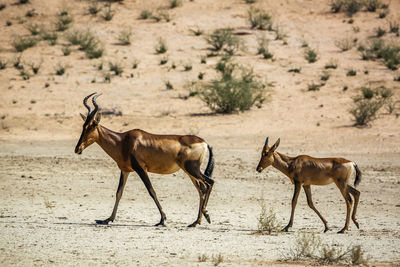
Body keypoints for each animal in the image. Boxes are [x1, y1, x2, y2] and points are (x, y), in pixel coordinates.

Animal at [74, 93, 214, 227]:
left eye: (92, 125)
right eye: (84, 125)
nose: (77, 149)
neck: (124, 141)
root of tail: (204, 142)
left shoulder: (141, 169)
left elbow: (151, 191)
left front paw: (162, 220)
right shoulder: (125, 171)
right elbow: (119, 193)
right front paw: (107, 219)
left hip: (192, 169)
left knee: (209, 183)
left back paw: (206, 215)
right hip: (190, 172)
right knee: (201, 189)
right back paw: (196, 221)